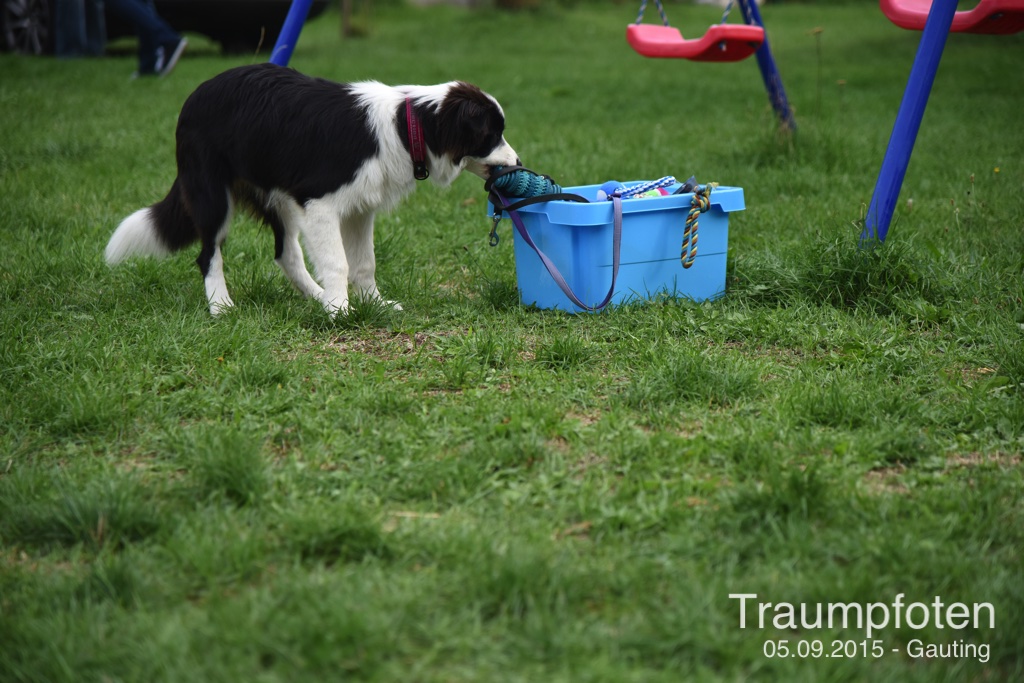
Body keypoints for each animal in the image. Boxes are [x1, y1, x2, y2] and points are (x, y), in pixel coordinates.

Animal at [108, 65, 520, 317]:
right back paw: (221, 306)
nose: (517, 162)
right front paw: (341, 311)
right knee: (209, 252)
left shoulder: (359, 207)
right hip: (213, 192)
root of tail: (195, 95)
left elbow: (365, 261)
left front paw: (372, 304)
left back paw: (315, 295)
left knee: (285, 252)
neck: (408, 126)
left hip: (278, 195)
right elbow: (338, 261)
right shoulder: (319, 202)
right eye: (492, 134)